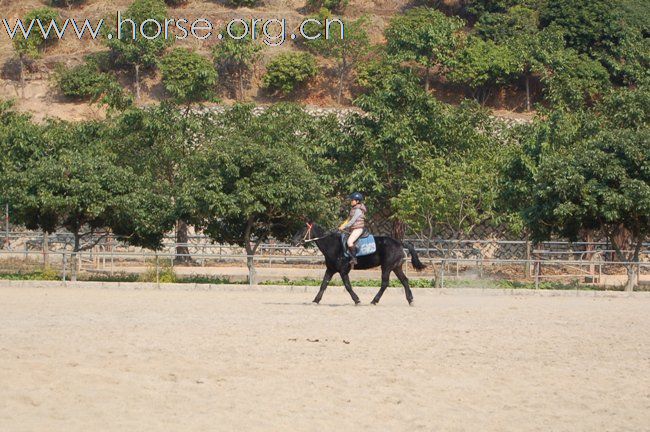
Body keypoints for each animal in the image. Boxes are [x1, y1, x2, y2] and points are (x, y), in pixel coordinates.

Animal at [292, 224, 426, 306]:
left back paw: (374, 301)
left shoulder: (343, 271)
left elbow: (348, 286)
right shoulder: (330, 270)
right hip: (396, 267)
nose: (293, 241)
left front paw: (357, 300)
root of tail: (399, 242)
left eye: (302, 230)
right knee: (404, 281)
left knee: (385, 283)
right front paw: (316, 300)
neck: (333, 246)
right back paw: (410, 300)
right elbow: (323, 285)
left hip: (387, 267)